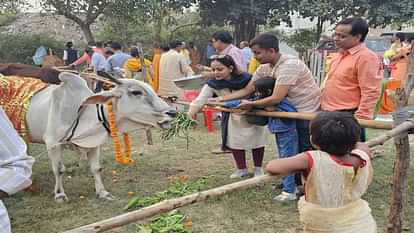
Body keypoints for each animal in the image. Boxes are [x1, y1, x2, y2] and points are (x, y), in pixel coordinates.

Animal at [25, 72, 175, 201]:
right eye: (136, 92)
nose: (173, 112)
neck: (81, 115)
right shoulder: (52, 143)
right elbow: (59, 169)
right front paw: (60, 195)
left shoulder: (94, 144)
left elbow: (96, 168)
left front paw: (102, 192)